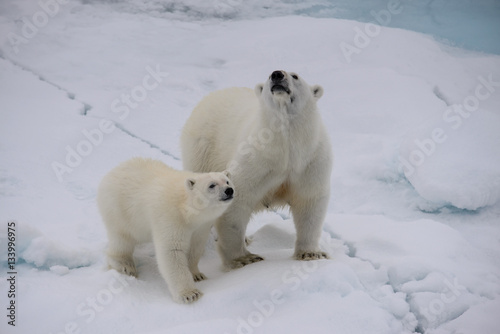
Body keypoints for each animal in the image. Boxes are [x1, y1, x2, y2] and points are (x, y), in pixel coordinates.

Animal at [180, 70, 332, 268]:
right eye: (269, 77)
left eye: (295, 75)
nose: (277, 75)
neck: (286, 147)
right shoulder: (256, 158)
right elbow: (238, 197)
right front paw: (244, 258)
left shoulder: (309, 161)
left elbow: (310, 201)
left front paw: (311, 253)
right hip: (203, 150)